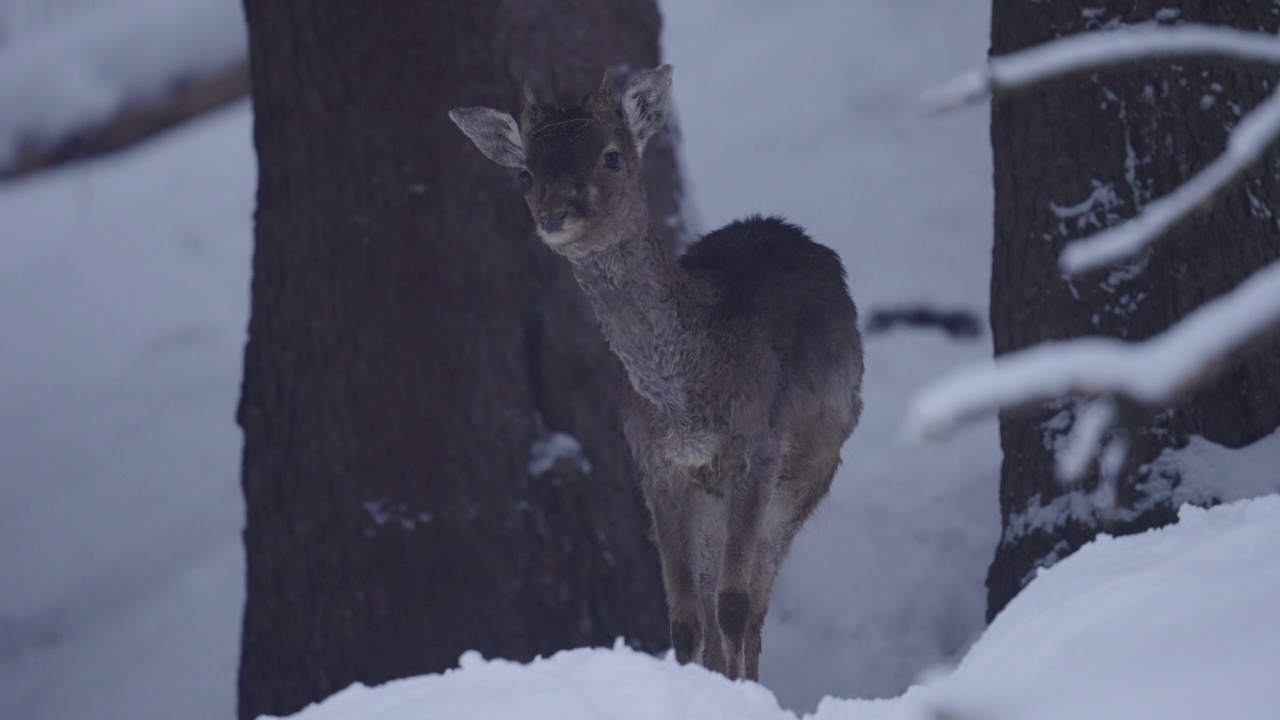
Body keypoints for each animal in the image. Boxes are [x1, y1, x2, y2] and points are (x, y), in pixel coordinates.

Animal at [448, 63, 860, 676]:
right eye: (525, 173)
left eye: (612, 156)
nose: (555, 215)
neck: (684, 396)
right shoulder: (655, 466)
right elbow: (685, 618)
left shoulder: (757, 447)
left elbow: (734, 604)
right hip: (716, 496)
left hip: (813, 467)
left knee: (755, 601)